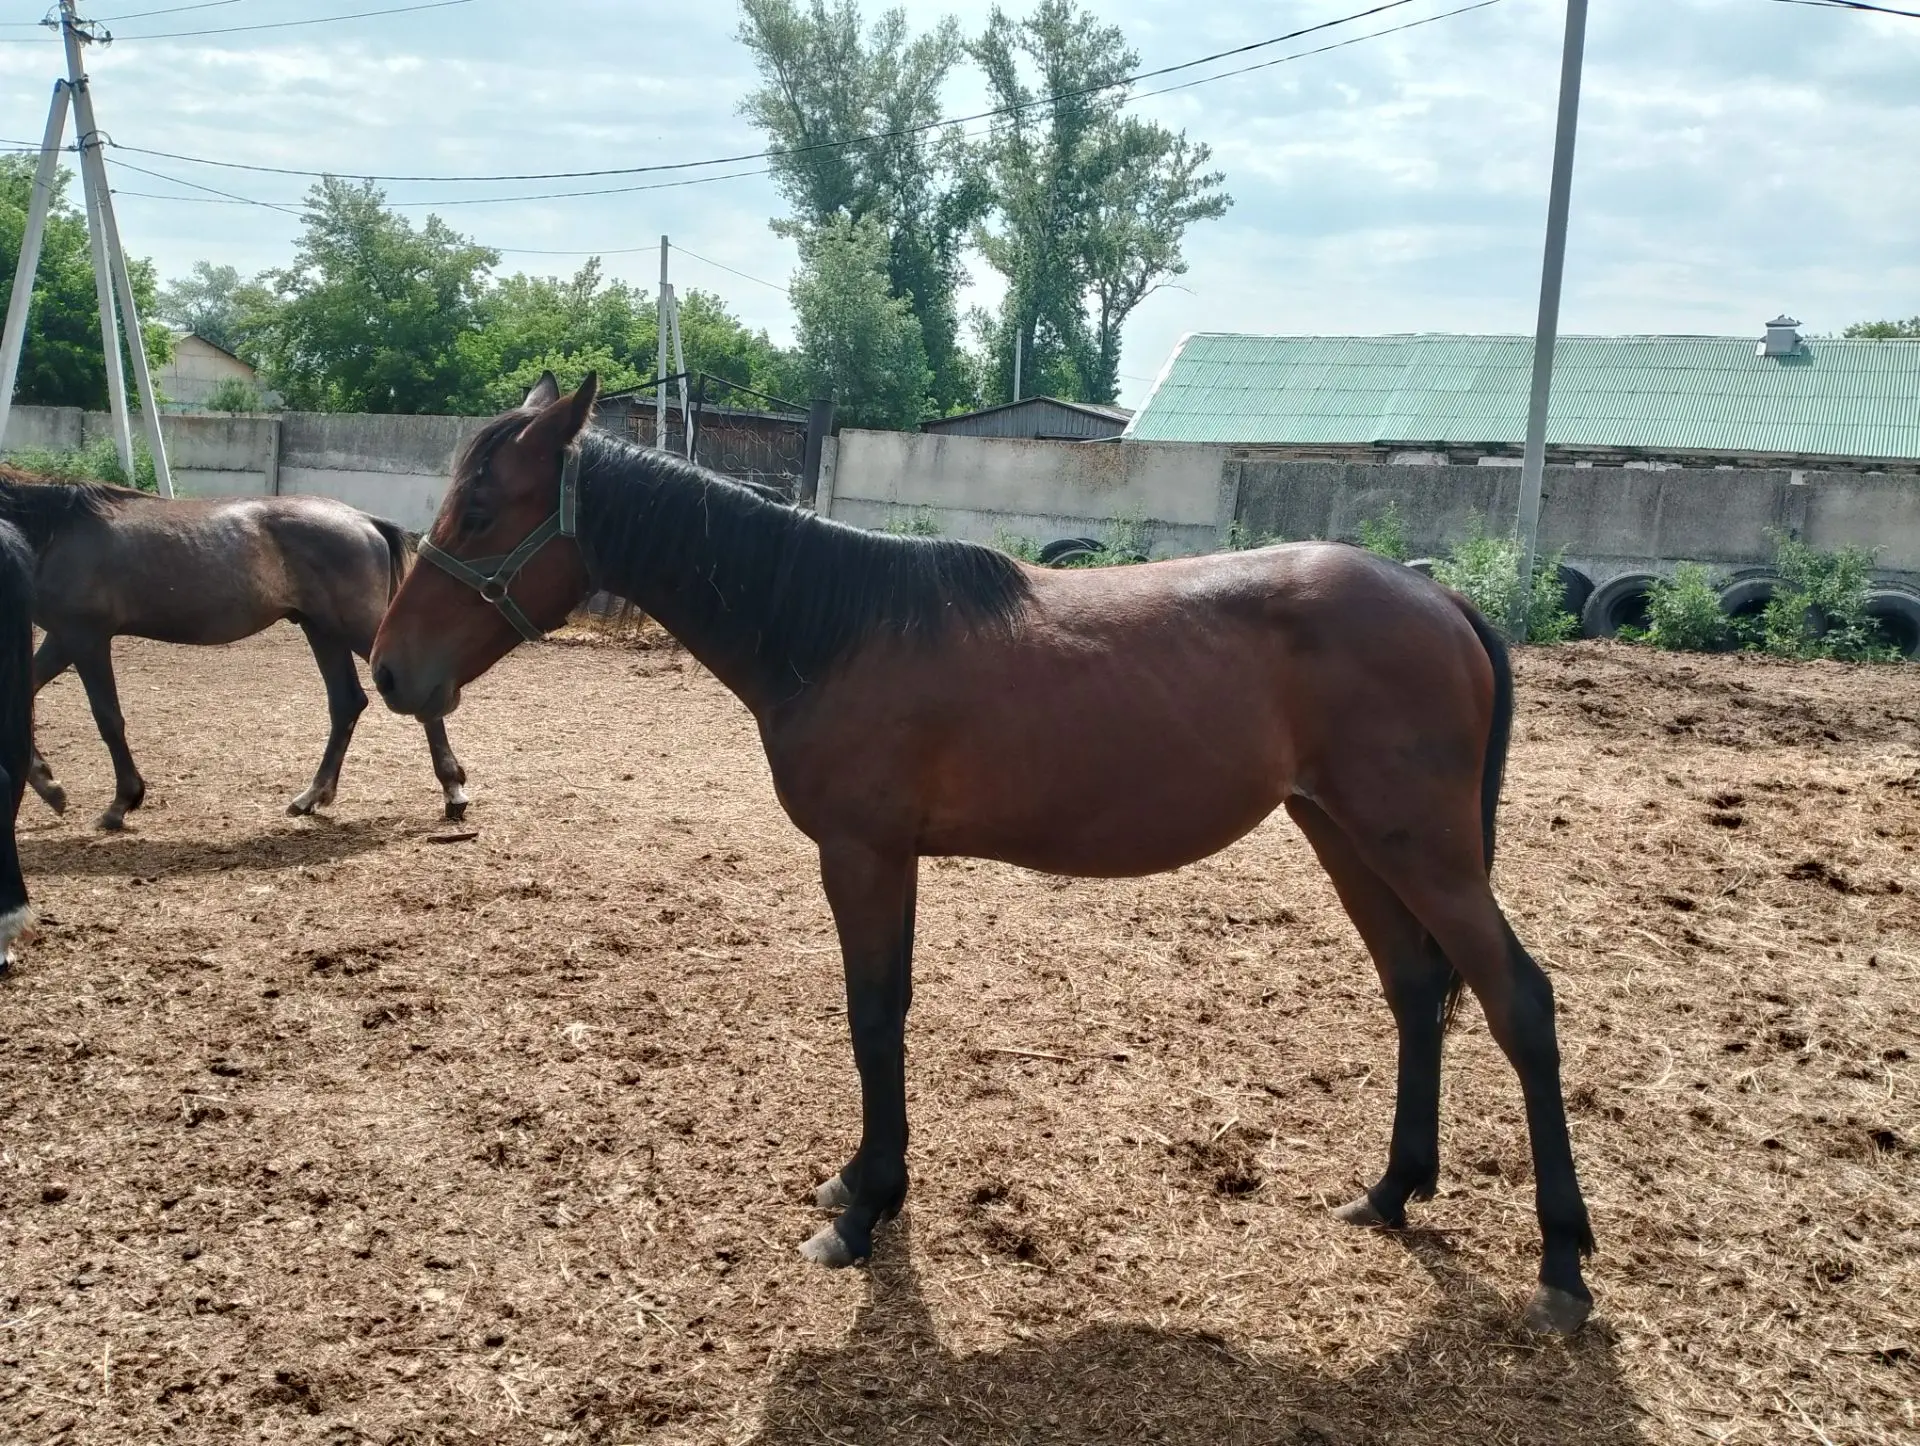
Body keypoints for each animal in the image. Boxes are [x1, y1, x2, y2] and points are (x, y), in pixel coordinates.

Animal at [0, 465, 470, 830]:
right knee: (346, 703)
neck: (57, 532)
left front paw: (121, 803)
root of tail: (366, 521)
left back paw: (453, 791)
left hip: (357, 630)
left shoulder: (86, 638)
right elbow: (26, 696)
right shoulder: (62, 638)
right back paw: (311, 796)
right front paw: (51, 788)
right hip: (321, 630)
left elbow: (108, 719)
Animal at [369, 373, 1598, 1336]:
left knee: (1518, 1002)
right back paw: (1389, 1194)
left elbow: (874, 1016)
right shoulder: (888, 858)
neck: (831, 627)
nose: (388, 671)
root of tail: (1439, 596)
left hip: (1422, 849)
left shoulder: (864, 854)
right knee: (1416, 991)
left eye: (481, 507)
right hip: (1346, 835)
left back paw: (1562, 1266)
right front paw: (865, 1184)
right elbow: (889, 1012)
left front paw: (867, 1209)